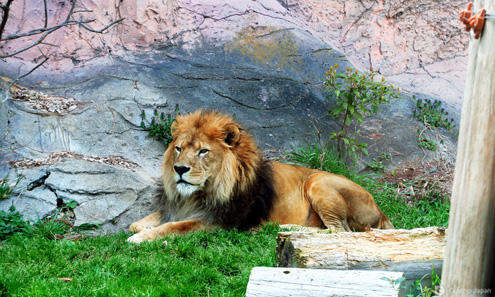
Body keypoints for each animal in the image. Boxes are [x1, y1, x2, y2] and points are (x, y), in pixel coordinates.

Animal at [127, 110, 392, 242]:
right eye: (179, 148)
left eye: (203, 151)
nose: (180, 169)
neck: (194, 195)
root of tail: (381, 211)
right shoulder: (172, 208)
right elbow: (134, 224)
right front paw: (140, 231)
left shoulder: (219, 221)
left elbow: (174, 227)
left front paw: (141, 239)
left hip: (319, 183)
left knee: (341, 231)